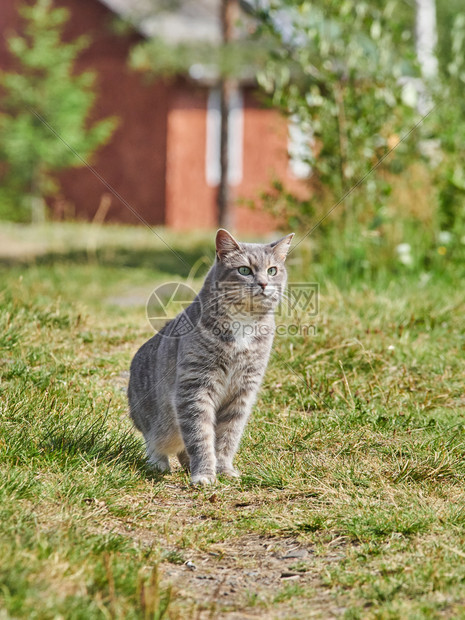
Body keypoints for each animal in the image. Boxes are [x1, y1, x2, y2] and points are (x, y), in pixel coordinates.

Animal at [127, 228, 294, 484]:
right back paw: (159, 464)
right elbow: (200, 435)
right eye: (244, 270)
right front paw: (205, 474)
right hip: (153, 420)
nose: (264, 283)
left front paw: (223, 469)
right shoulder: (195, 387)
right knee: (154, 441)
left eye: (272, 270)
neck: (243, 323)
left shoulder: (242, 391)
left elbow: (227, 436)